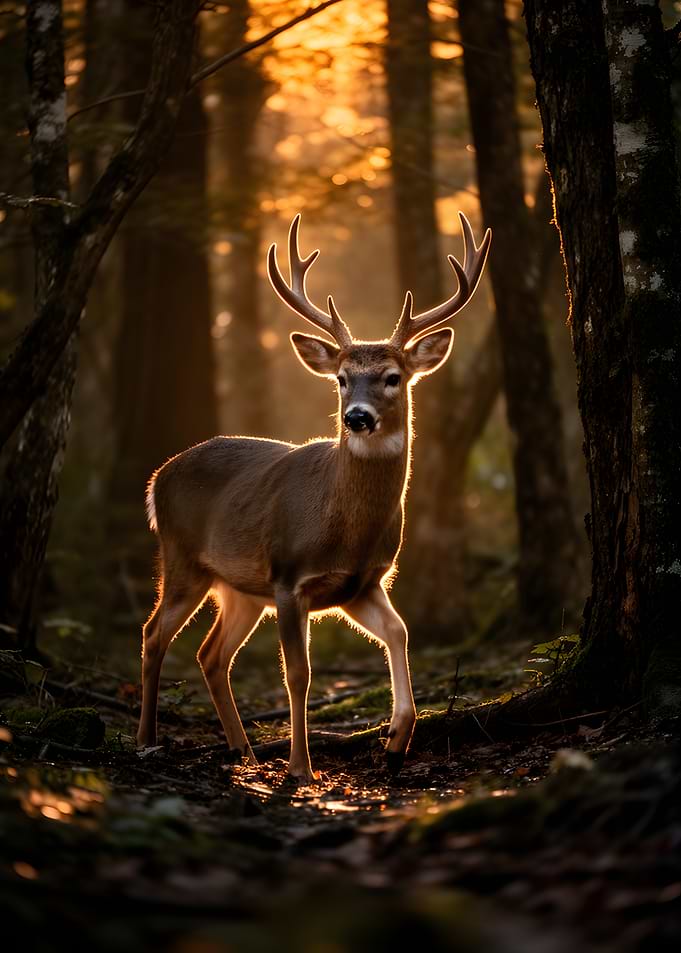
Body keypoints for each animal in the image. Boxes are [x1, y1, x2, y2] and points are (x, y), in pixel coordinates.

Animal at [137, 212, 491, 783]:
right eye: (342, 378)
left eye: (393, 377)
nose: (357, 417)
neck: (345, 529)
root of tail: (156, 479)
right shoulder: (289, 577)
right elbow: (298, 674)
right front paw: (301, 768)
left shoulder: (362, 584)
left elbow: (400, 632)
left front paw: (397, 740)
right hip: (183, 558)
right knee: (154, 635)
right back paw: (148, 741)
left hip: (239, 588)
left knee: (211, 654)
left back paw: (243, 750)